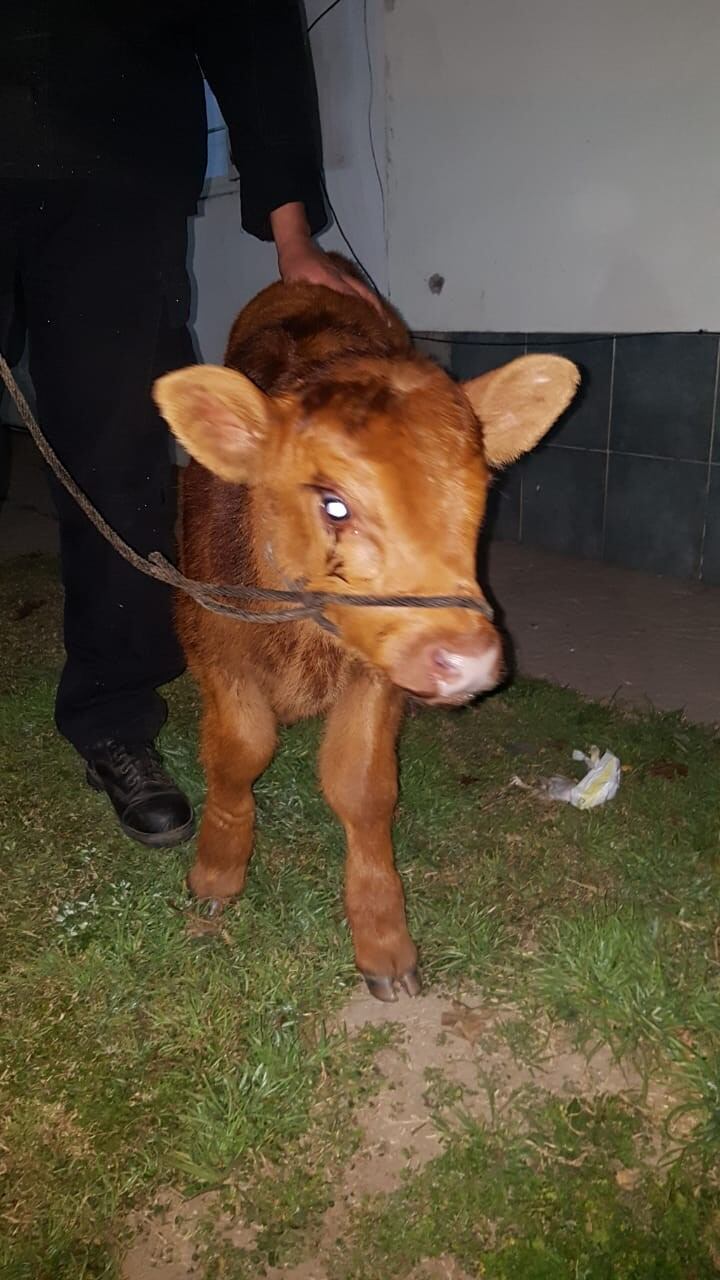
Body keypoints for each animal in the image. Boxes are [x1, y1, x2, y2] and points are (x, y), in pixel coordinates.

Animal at [152, 259, 576, 998]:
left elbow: (363, 788)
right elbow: (240, 753)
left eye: (480, 495)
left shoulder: (375, 676)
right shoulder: (212, 642)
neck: (301, 637)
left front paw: (384, 942)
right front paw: (217, 873)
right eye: (333, 504)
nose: (466, 659)